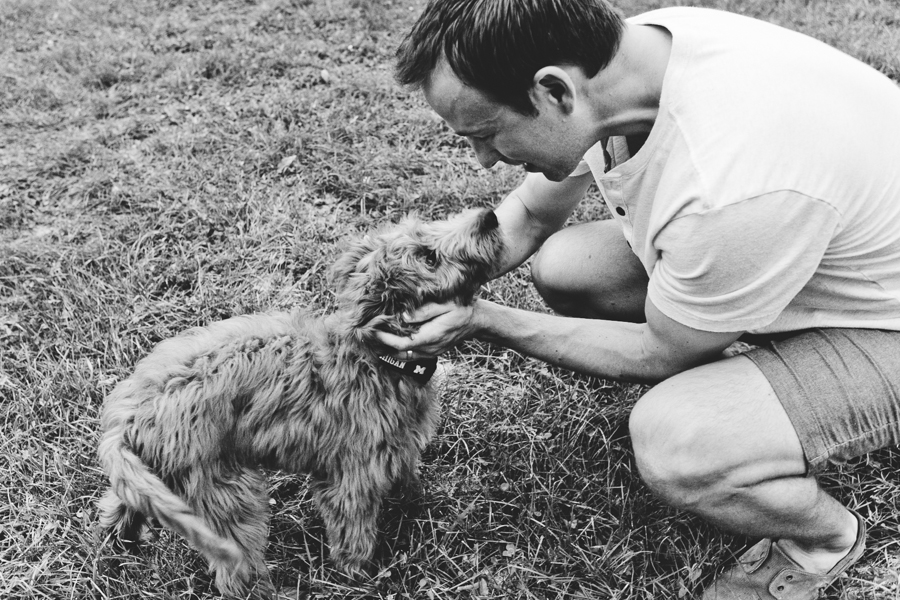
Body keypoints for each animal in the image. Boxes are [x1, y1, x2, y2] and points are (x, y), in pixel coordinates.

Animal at [98, 209, 506, 596]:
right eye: (429, 257)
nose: (489, 215)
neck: (375, 355)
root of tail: (128, 417)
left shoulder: (396, 445)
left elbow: (407, 478)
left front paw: (416, 505)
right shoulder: (352, 475)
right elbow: (353, 534)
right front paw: (360, 578)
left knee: (119, 507)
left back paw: (118, 546)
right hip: (226, 491)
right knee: (235, 569)